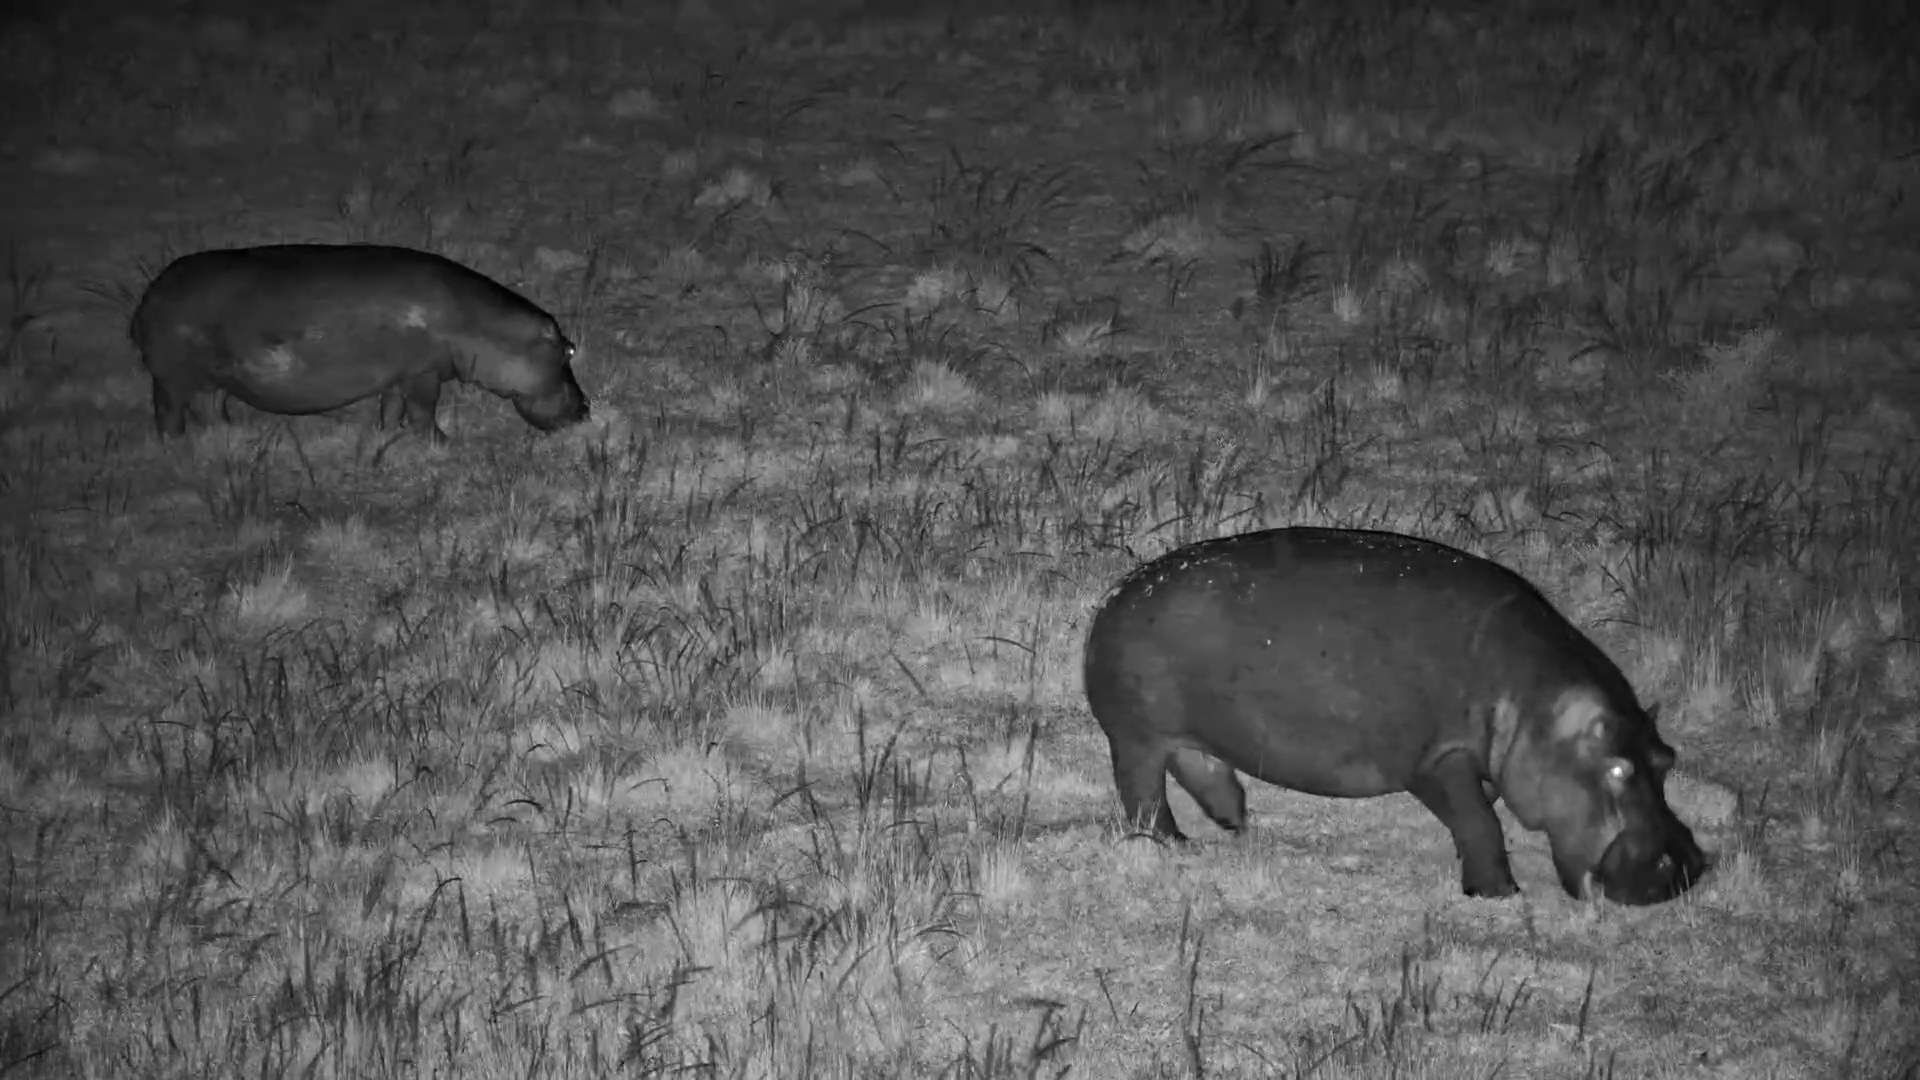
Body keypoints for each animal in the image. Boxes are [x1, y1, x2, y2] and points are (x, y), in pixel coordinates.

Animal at [129, 244, 589, 441]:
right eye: (569, 350)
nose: (588, 407)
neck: (482, 327)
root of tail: (149, 297)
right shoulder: (423, 374)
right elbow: (422, 412)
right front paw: (444, 443)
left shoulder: (399, 375)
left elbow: (392, 407)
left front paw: (384, 435)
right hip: (171, 379)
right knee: (169, 414)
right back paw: (178, 448)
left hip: (212, 380)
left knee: (210, 409)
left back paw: (233, 437)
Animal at [1083, 527, 1706, 905]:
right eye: (1618, 770)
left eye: (1666, 757)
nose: (1685, 867)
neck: (1540, 706)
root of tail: (1115, 594)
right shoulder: (1438, 758)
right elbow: (1480, 822)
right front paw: (1498, 895)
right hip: (1136, 737)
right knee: (1144, 794)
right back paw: (1172, 845)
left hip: (1189, 735)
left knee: (1203, 768)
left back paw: (1237, 822)